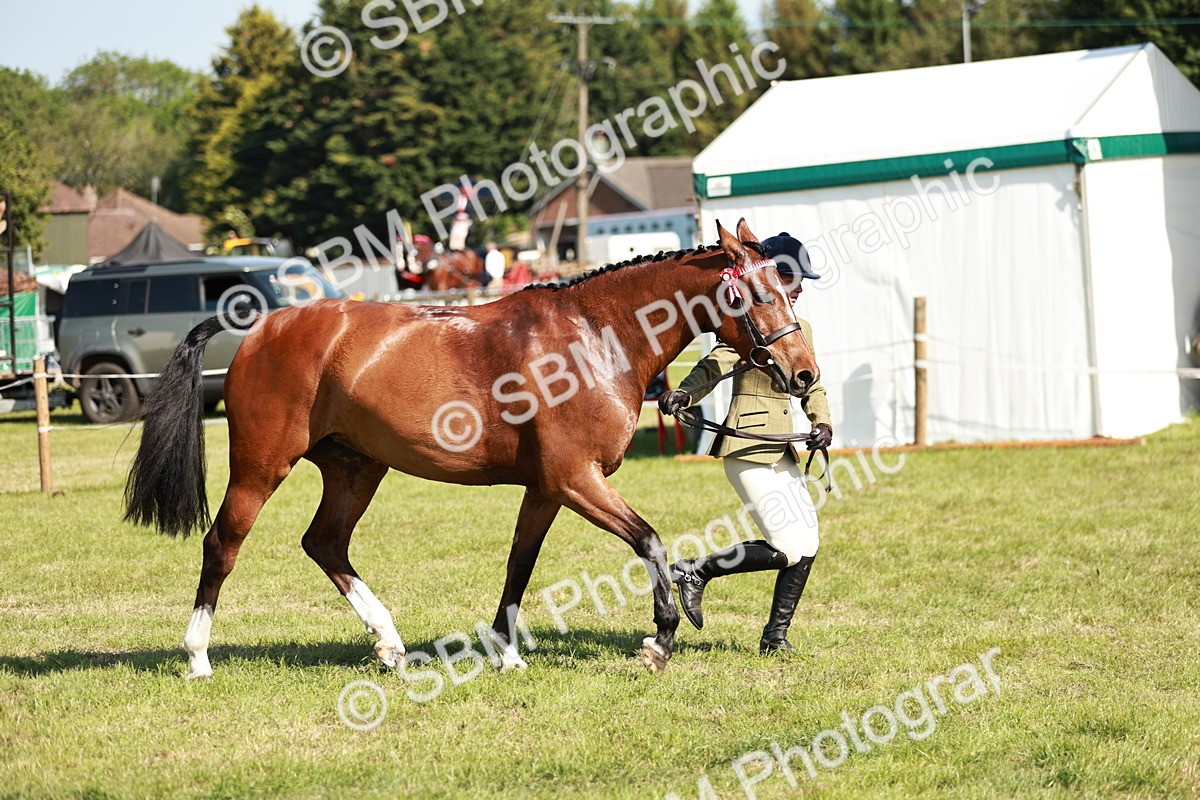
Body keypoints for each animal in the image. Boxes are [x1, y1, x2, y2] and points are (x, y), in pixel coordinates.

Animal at [123, 219, 821, 679]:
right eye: (755, 293)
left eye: (789, 289)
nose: (804, 373)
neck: (593, 336)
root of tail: (260, 323)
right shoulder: (577, 479)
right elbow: (649, 540)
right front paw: (661, 639)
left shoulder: (547, 489)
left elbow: (520, 564)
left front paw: (507, 652)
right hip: (261, 466)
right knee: (223, 544)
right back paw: (198, 657)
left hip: (356, 468)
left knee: (324, 543)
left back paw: (389, 643)